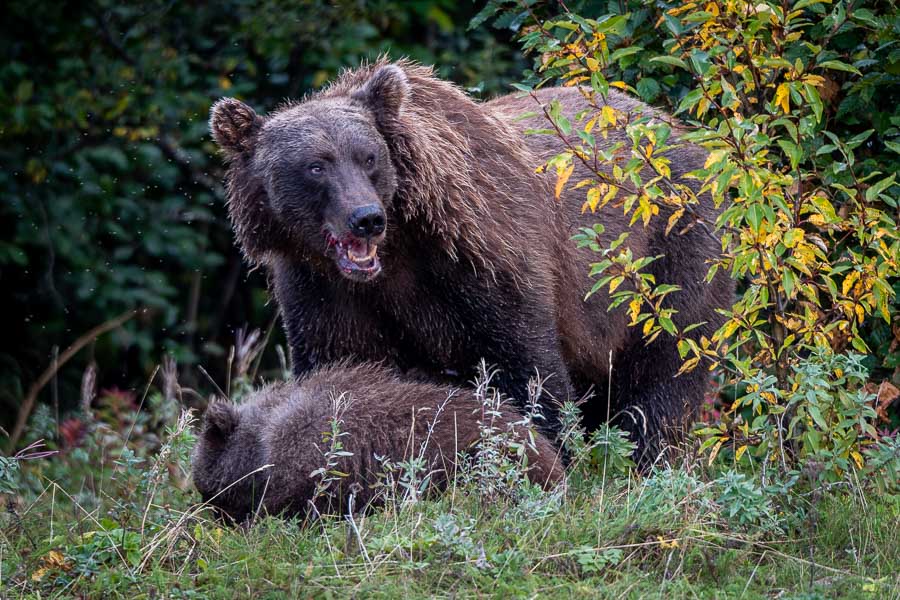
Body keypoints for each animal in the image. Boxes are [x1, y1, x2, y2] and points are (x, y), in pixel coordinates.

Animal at [209, 59, 733, 464]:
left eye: (369, 157)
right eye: (316, 165)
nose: (366, 219)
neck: (398, 251)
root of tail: (684, 131)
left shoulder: (481, 254)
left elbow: (527, 364)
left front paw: (546, 452)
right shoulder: (323, 290)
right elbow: (340, 368)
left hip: (668, 248)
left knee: (665, 358)